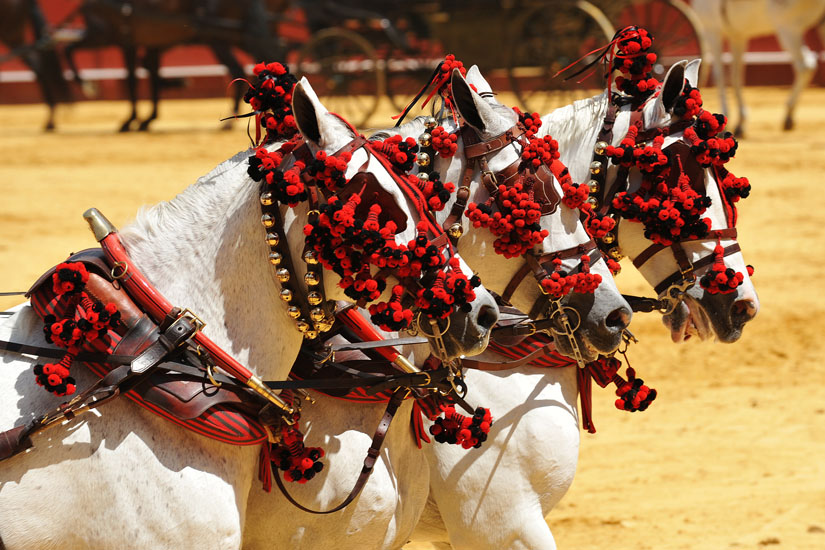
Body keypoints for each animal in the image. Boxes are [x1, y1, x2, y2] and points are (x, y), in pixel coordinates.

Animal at [688, 0, 824, 135]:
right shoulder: (738, 35)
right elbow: (736, 75)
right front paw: (740, 122)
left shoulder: (712, 29)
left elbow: (719, 76)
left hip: (788, 27)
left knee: (805, 66)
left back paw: (788, 114)